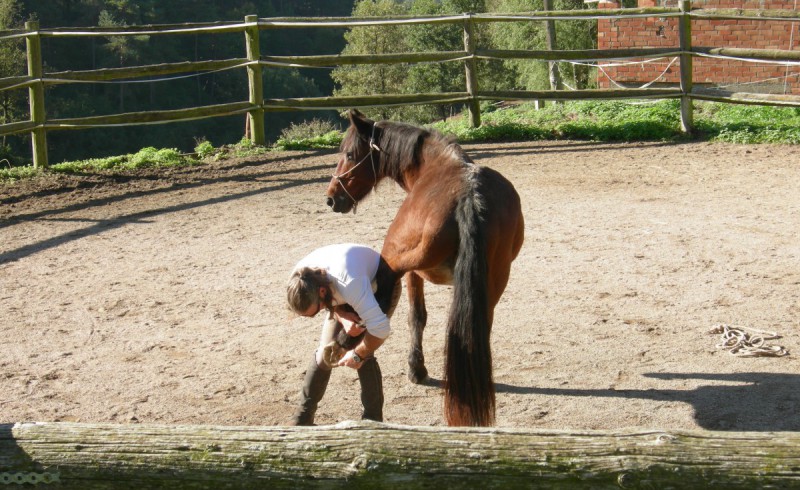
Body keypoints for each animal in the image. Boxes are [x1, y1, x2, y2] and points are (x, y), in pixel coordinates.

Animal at [324, 110, 524, 424]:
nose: (332, 198)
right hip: (494, 280)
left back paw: (349, 337)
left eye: (349, 154)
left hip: (396, 262)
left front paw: (416, 369)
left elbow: (416, 317)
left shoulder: (413, 275)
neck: (434, 165)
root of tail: (469, 196)